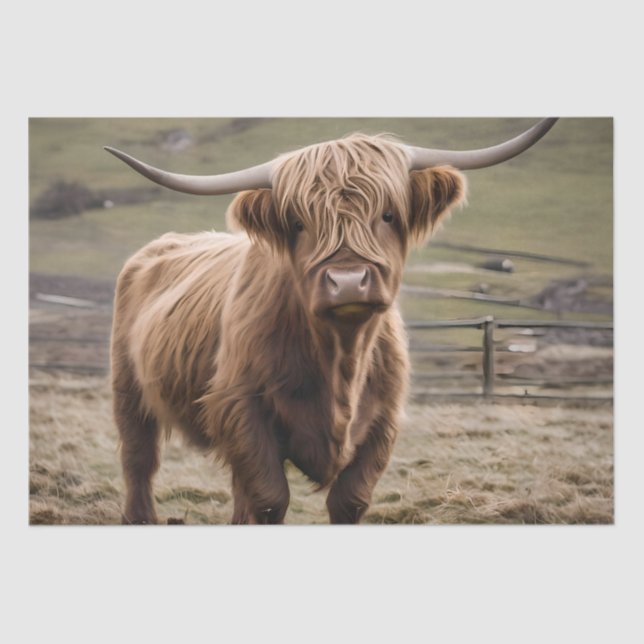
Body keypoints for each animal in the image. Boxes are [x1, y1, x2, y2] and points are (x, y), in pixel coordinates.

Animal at [106, 119, 557, 524]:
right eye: (298, 223)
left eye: (388, 215)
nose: (348, 281)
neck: (342, 357)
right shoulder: (243, 410)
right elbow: (269, 499)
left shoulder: (382, 423)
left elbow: (348, 501)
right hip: (128, 389)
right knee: (139, 458)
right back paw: (139, 517)